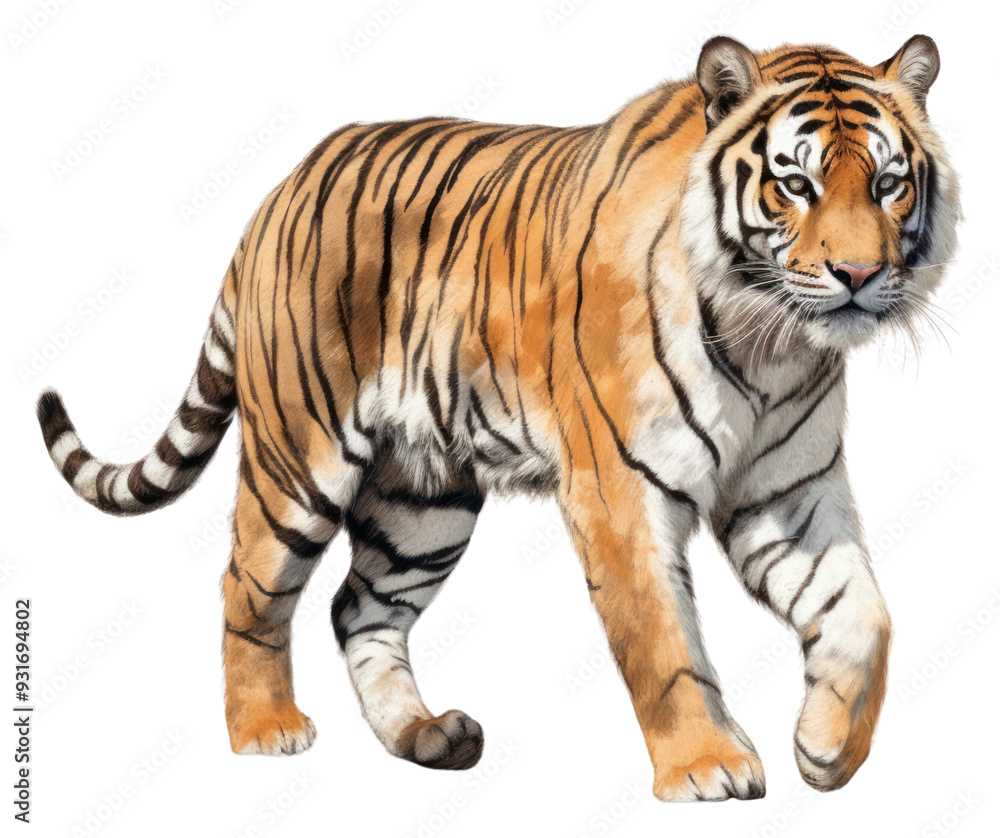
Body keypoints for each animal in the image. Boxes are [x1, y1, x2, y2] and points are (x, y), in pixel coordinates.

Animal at [36, 34, 958, 801]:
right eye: (796, 184)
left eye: (887, 184)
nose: (857, 275)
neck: (772, 343)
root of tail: (279, 191)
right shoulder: (619, 490)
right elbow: (662, 640)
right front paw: (705, 766)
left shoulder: (786, 493)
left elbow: (864, 616)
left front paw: (827, 750)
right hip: (300, 459)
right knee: (250, 586)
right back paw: (265, 731)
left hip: (422, 501)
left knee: (359, 608)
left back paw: (424, 736)